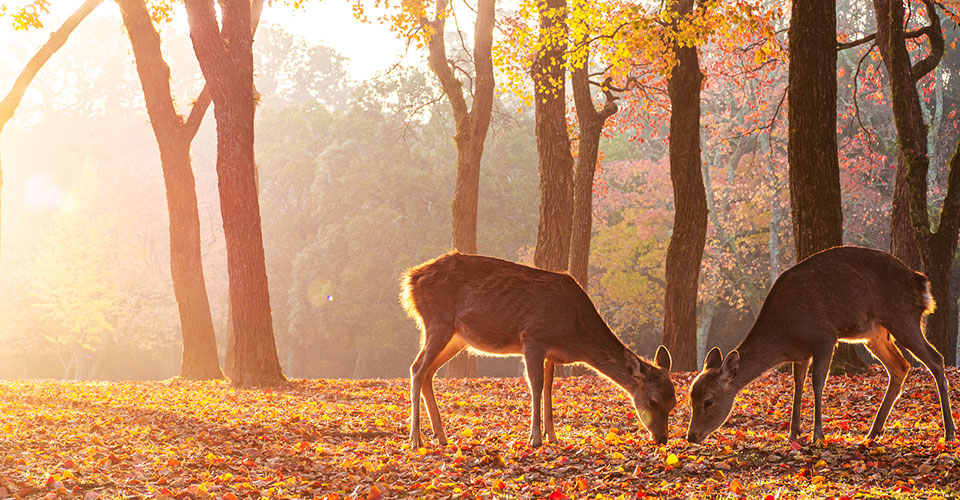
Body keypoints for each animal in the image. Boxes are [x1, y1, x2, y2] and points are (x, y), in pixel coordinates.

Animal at [398, 252, 676, 448]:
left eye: (673, 402)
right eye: (653, 401)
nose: (662, 438)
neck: (575, 335)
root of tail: (411, 280)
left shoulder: (551, 353)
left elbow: (550, 388)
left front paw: (552, 435)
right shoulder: (533, 337)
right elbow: (537, 385)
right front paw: (535, 439)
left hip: (456, 337)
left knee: (428, 372)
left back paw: (441, 435)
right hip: (438, 322)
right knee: (416, 368)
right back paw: (416, 439)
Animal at [688, 244, 956, 444]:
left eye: (708, 401)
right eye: (691, 397)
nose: (691, 436)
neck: (785, 334)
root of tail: (921, 282)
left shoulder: (825, 337)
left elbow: (817, 383)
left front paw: (817, 434)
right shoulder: (800, 354)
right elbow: (797, 386)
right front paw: (793, 434)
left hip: (902, 317)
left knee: (935, 359)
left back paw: (949, 431)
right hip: (876, 334)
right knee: (900, 366)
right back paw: (872, 432)